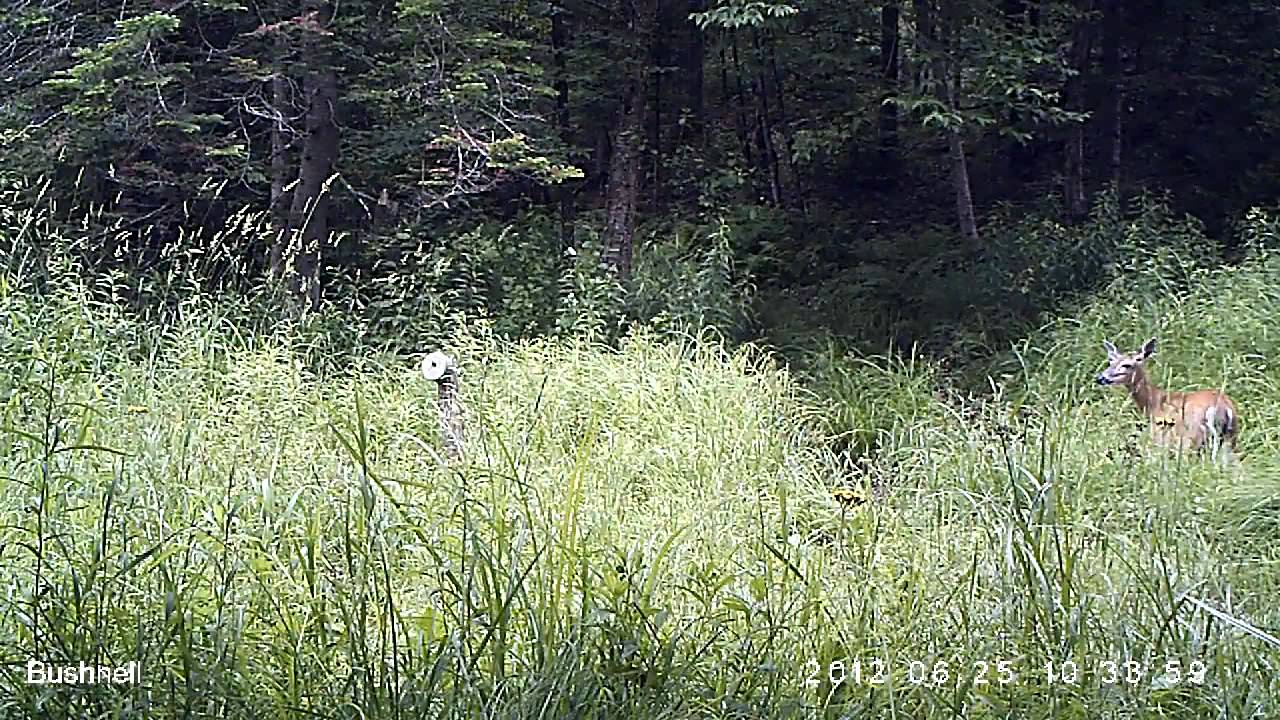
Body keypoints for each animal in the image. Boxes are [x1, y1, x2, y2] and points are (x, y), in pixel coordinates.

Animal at [1095, 337, 1239, 465]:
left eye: (1127, 365)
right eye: (1110, 361)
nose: (1100, 378)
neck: (1153, 403)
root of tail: (1224, 408)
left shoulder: (1159, 437)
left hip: (1192, 439)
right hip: (1229, 440)